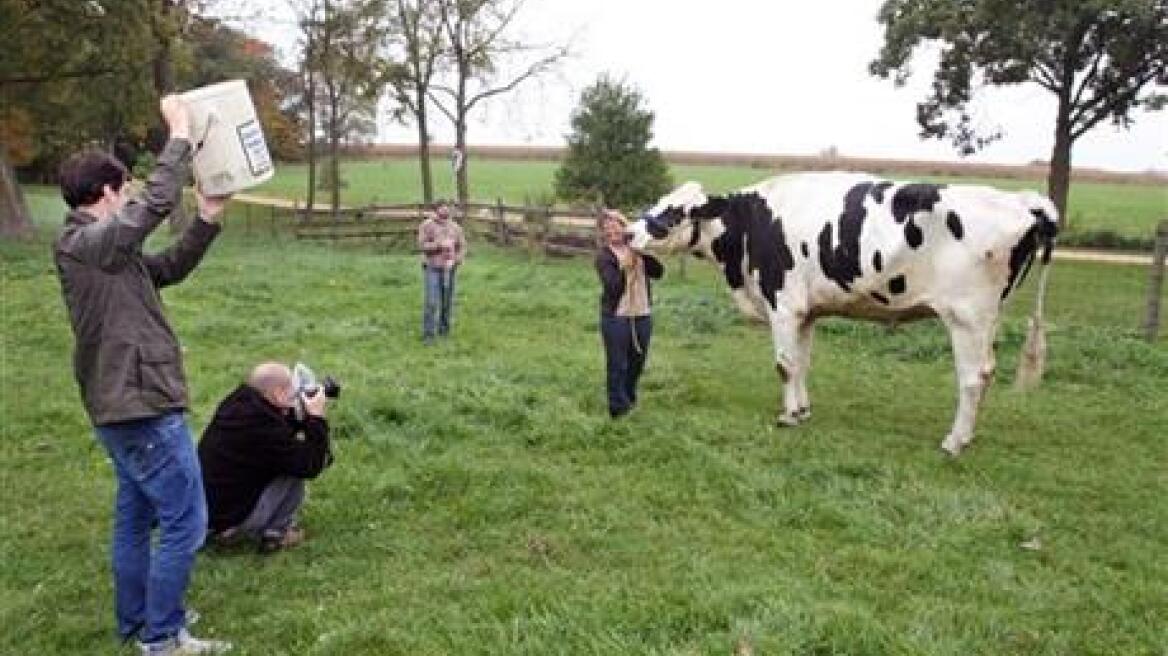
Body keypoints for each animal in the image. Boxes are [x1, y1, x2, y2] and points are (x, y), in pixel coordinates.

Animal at [630, 171, 1060, 452]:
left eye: (673, 211)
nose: (631, 232)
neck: (750, 224)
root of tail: (1024, 200)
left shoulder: (783, 304)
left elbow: (784, 364)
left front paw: (787, 417)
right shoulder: (805, 311)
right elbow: (801, 364)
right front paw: (802, 411)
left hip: (966, 317)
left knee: (973, 378)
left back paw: (954, 441)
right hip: (986, 319)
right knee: (986, 372)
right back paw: (967, 437)